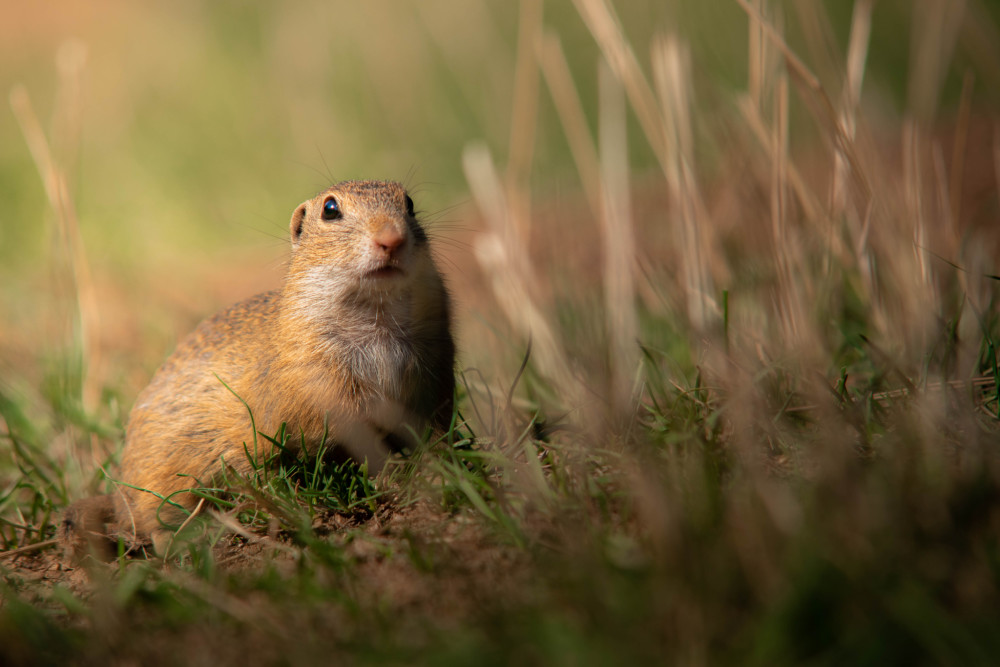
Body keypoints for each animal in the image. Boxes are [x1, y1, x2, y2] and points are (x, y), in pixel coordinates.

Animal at [68, 179, 458, 560]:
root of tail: (117, 496)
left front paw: (440, 467)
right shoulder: (321, 386)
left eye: (409, 204)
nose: (392, 239)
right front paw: (396, 475)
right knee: (152, 519)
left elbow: (432, 425)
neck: (378, 317)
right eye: (330, 209)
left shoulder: (435, 368)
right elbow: (356, 432)